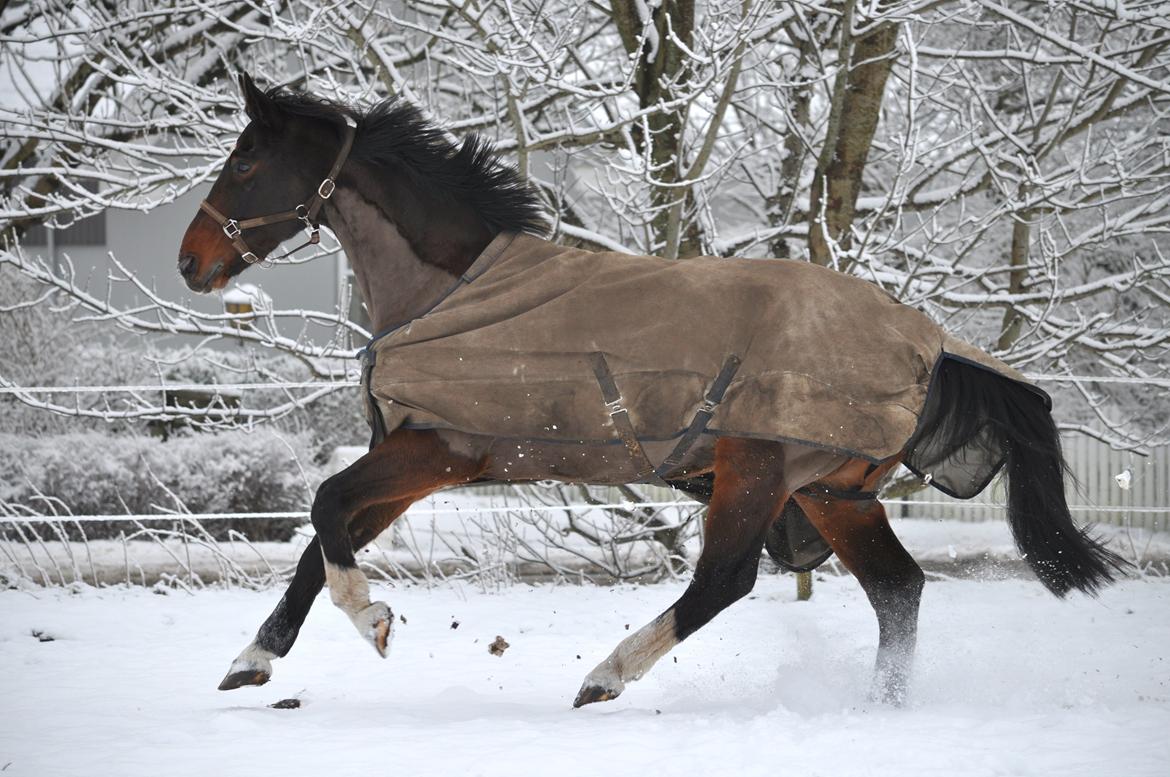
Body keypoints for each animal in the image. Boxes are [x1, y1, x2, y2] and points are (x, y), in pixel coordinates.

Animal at [175, 76, 1123, 706]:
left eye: (247, 159)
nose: (191, 261)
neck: (447, 288)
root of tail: (930, 340)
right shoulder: (415, 457)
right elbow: (319, 537)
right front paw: (252, 659)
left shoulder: (438, 449)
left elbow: (325, 509)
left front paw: (371, 618)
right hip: (832, 492)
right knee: (898, 589)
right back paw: (880, 706)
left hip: (758, 471)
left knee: (725, 580)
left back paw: (605, 676)